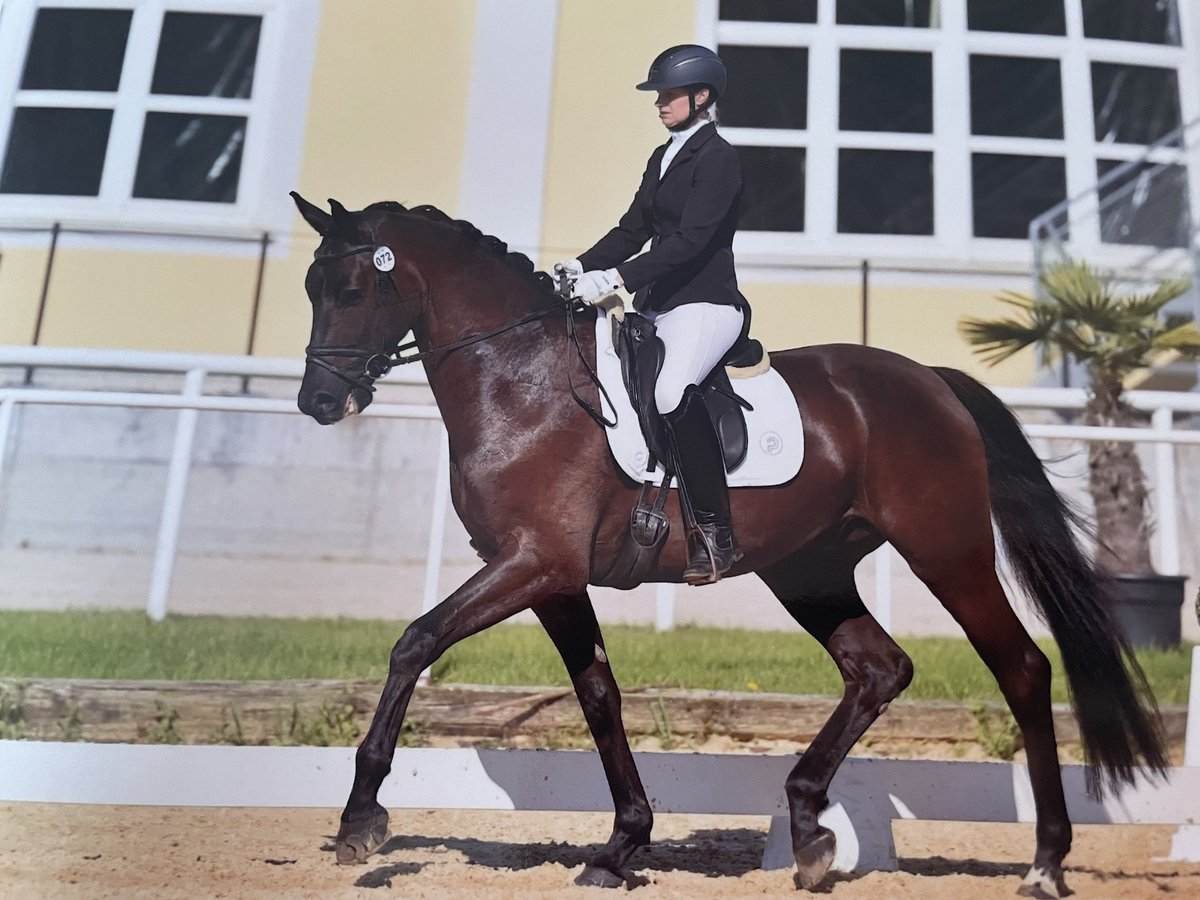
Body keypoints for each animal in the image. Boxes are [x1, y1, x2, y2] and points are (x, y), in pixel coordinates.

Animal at [288, 194, 1161, 897]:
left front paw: (361, 819)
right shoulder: (553, 579)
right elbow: (599, 697)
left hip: (947, 551)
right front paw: (621, 846)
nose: (319, 402)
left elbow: (415, 641)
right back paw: (808, 832)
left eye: (353, 291)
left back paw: (1045, 863)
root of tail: (929, 379)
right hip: (809, 569)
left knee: (1022, 668)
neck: (521, 382)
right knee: (879, 668)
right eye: (309, 291)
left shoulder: (534, 562)